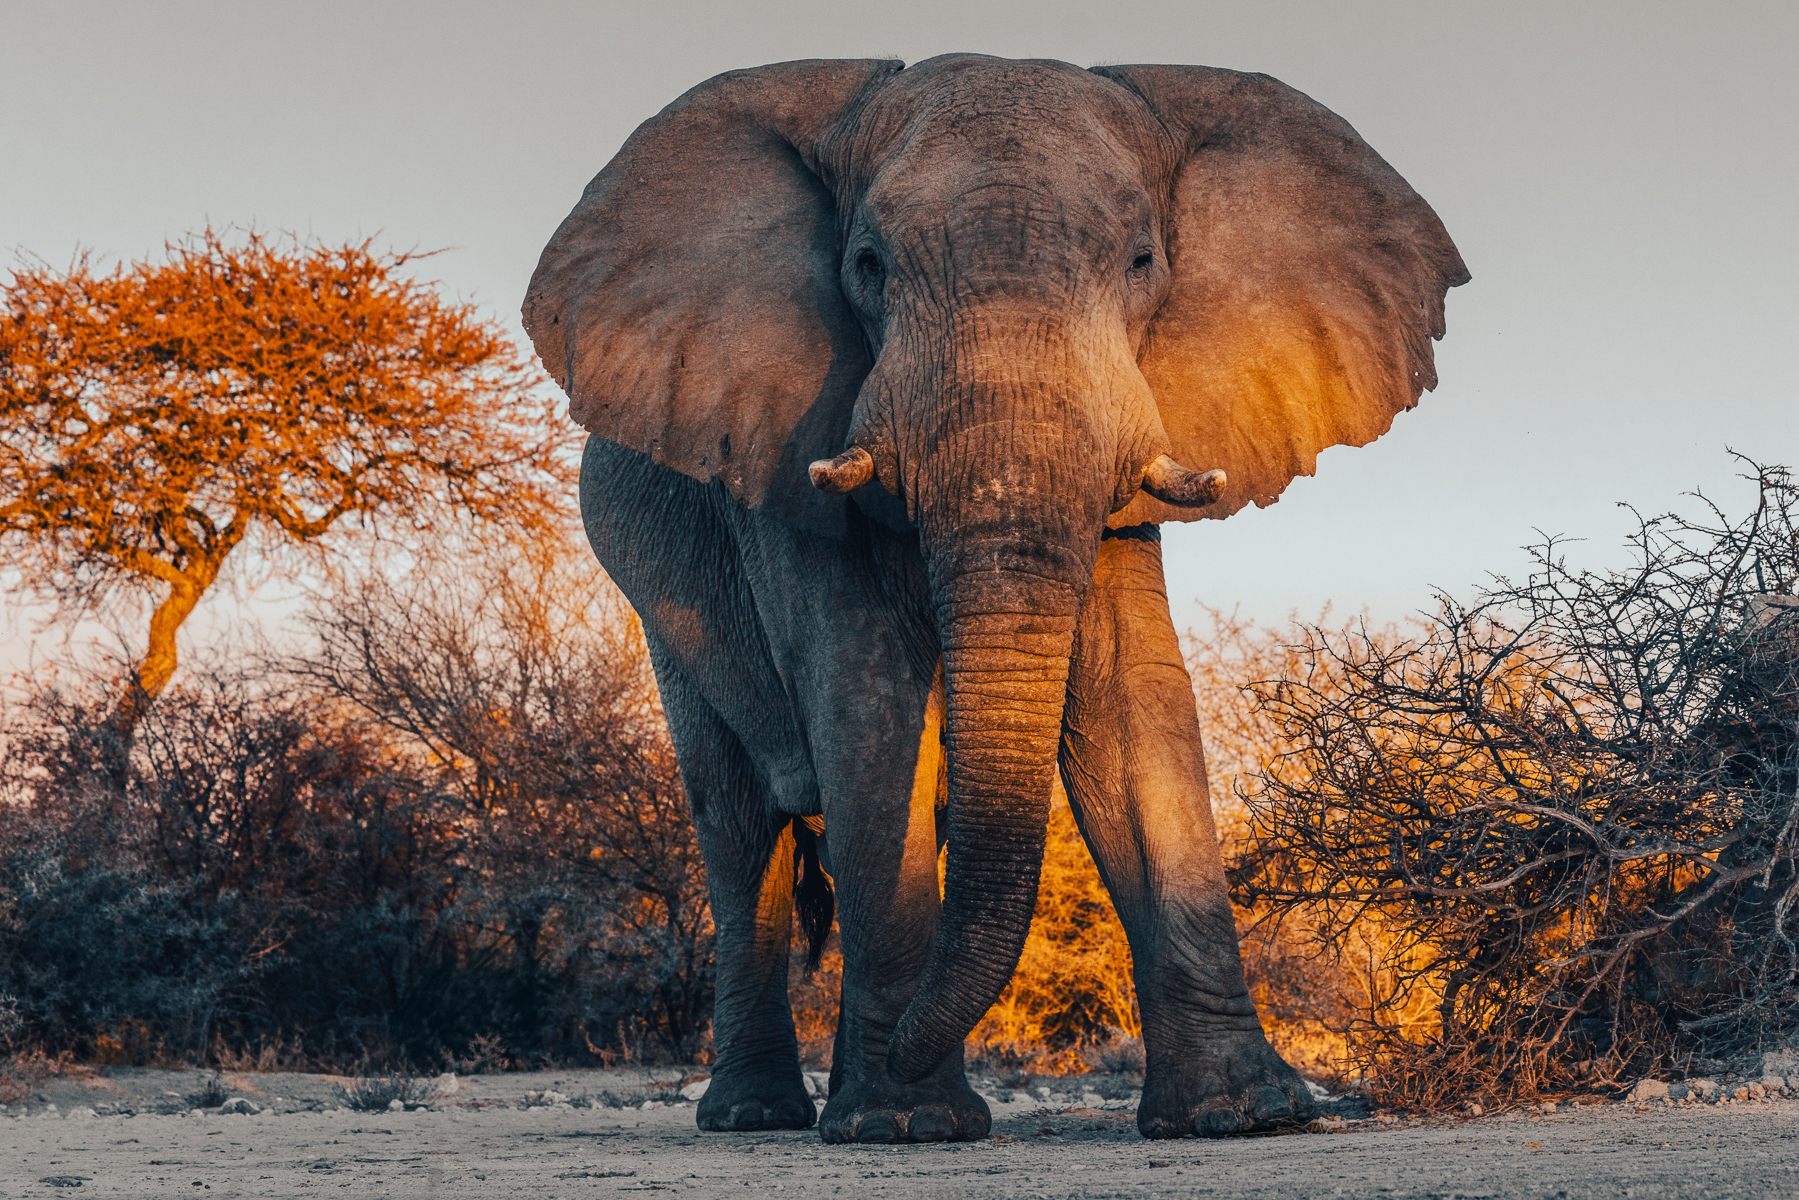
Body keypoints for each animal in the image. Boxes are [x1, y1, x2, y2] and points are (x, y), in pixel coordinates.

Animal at [522, 53, 1466, 1143]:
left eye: (1141, 262)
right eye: (867, 265)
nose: (905, 1053)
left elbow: (1130, 703)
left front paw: (1243, 1115)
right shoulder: (781, 463)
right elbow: (868, 703)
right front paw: (907, 1125)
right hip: (661, 608)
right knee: (741, 824)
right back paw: (764, 1114)